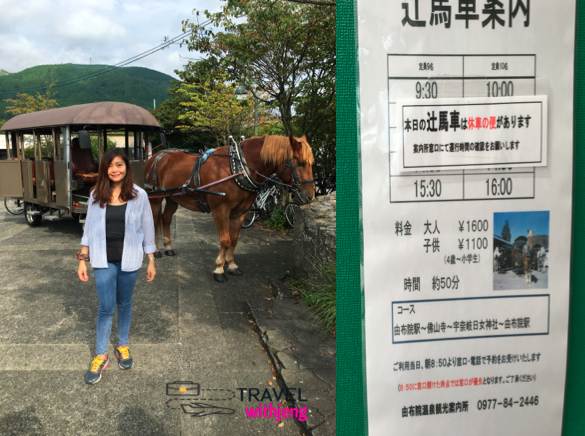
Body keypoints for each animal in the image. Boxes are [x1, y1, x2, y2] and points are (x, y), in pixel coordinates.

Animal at [143, 135, 312, 282]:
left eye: (311, 163)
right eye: (301, 163)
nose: (310, 196)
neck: (238, 169)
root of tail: (156, 155)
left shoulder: (241, 212)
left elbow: (234, 240)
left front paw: (231, 265)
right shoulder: (220, 210)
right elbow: (225, 240)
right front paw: (219, 269)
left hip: (172, 198)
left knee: (166, 218)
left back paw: (168, 247)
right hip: (155, 197)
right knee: (154, 221)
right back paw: (156, 251)